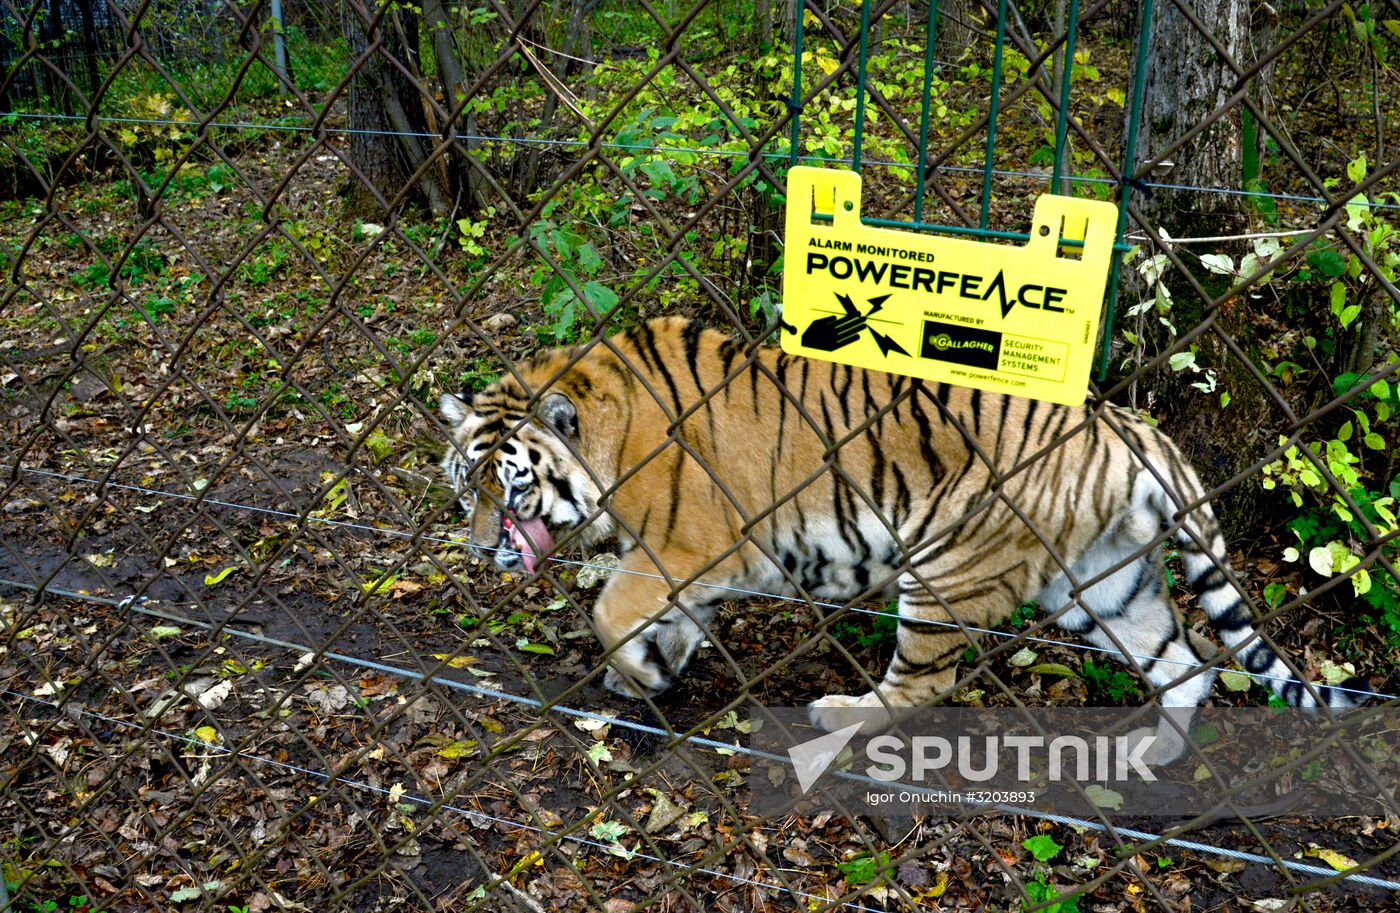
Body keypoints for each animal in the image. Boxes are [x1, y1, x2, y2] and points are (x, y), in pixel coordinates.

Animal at [439, 317, 1366, 761]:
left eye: (509, 486)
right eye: (462, 487)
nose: (482, 548)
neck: (605, 428)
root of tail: (1127, 423)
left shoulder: (687, 546)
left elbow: (609, 606)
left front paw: (637, 669)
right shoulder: (689, 567)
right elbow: (665, 619)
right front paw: (654, 667)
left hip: (949, 569)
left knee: (922, 684)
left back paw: (836, 715)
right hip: (1103, 586)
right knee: (1188, 664)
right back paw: (1150, 759)